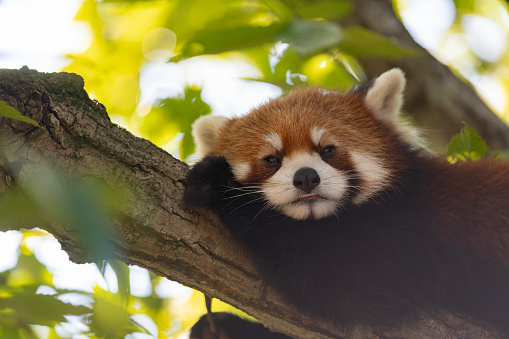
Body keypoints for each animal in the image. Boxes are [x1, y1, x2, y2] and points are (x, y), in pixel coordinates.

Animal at [185, 69, 508, 338]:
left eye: (327, 149)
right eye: (272, 159)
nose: (306, 178)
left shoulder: (407, 233)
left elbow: (351, 290)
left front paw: (218, 184)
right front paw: (225, 327)